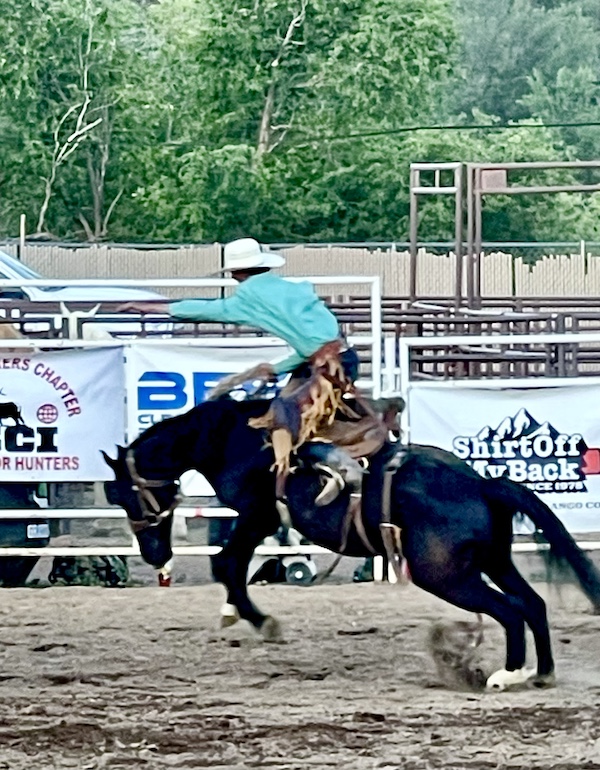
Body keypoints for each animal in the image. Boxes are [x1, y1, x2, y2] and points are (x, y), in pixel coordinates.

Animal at [103, 396, 600, 688]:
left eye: (124, 494)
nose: (153, 555)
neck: (232, 437)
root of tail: (482, 483)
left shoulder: (258, 514)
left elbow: (226, 563)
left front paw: (261, 621)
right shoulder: (260, 520)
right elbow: (232, 564)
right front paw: (235, 612)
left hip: (444, 574)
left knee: (509, 609)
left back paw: (506, 674)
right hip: (494, 560)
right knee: (532, 603)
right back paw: (541, 673)